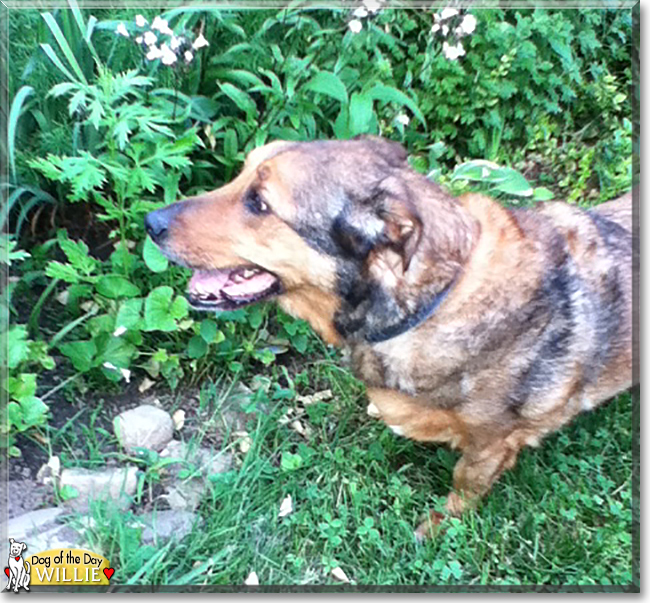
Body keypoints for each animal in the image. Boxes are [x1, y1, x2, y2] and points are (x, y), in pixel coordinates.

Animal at [146, 136, 632, 532]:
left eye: (260, 203)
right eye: (241, 173)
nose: (150, 222)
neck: (434, 299)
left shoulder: (491, 445)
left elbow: (465, 485)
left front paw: (439, 526)